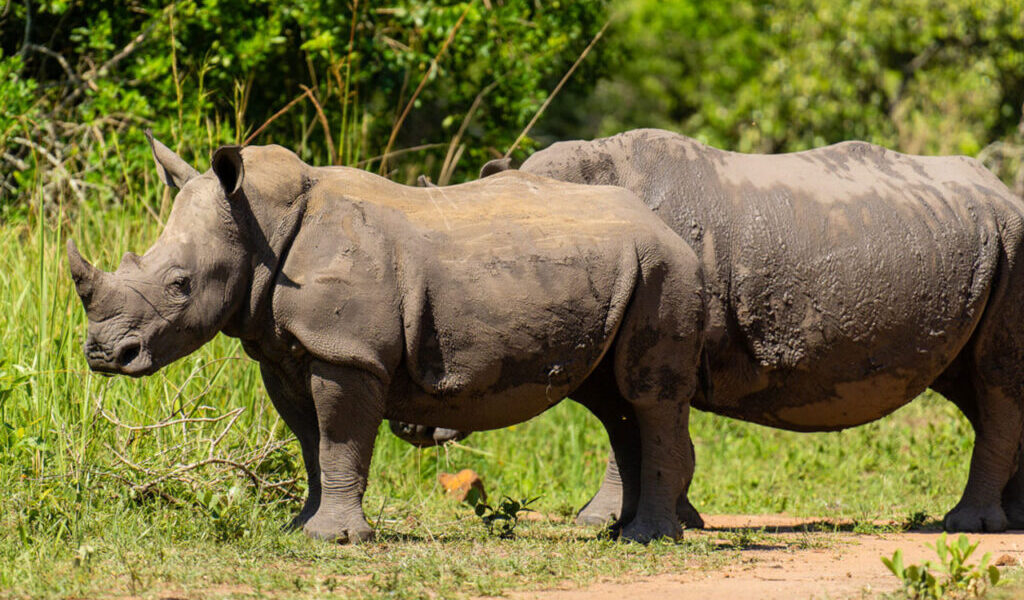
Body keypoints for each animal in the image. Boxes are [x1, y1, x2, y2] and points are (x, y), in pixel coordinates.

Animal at [68, 132, 708, 543]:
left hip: (663, 269)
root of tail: (667, 227)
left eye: (180, 284)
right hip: (626, 270)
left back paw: (649, 539)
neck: (259, 226)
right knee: (610, 399)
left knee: (646, 396)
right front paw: (300, 529)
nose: (104, 354)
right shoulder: (285, 352)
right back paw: (617, 532)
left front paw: (335, 539)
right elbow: (311, 444)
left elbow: (339, 439)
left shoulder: (347, 352)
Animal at [395, 128, 1024, 533]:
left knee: (995, 382)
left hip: (1012, 244)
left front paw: (623, 521)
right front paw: (652, 519)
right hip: (975, 243)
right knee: (973, 385)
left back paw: (969, 527)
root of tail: (1005, 191)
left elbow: (637, 422)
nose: (409, 426)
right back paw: (1012, 520)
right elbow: (626, 425)